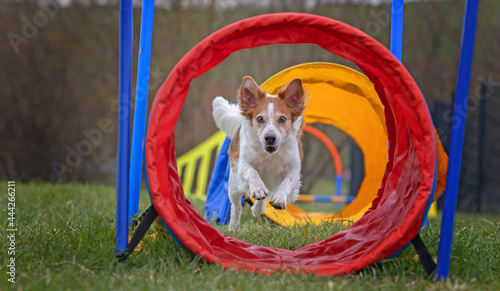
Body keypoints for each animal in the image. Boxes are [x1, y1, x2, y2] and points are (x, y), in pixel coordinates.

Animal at [211, 76, 304, 232]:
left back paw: (257, 209)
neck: (270, 155)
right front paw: (258, 189)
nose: (270, 137)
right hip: (233, 185)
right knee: (236, 207)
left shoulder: (293, 168)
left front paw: (279, 199)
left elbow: (287, 182)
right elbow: (253, 172)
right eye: (260, 119)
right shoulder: (243, 165)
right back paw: (233, 228)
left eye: (282, 119)